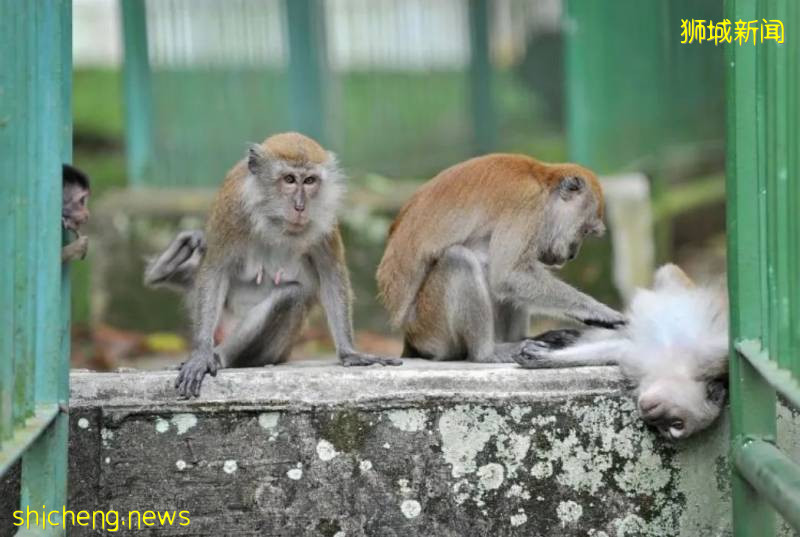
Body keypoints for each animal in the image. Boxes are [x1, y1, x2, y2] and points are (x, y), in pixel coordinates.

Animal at [162, 132, 400, 396]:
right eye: (289, 179)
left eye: (309, 180)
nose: (300, 207)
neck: (274, 218)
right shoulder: (232, 212)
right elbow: (215, 271)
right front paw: (202, 353)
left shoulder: (325, 218)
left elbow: (331, 272)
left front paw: (349, 352)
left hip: (279, 349)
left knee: (290, 295)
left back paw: (221, 356)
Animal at [376, 155, 624, 364]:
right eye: (584, 231)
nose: (573, 254)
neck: (542, 182)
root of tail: (409, 336)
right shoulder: (526, 203)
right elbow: (508, 275)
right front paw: (596, 311)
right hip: (430, 328)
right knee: (461, 259)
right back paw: (487, 353)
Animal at [512, 264, 732, 440]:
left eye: (673, 426)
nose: (651, 417)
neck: (674, 368)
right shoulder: (706, 358)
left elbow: (617, 349)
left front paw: (545, 357)